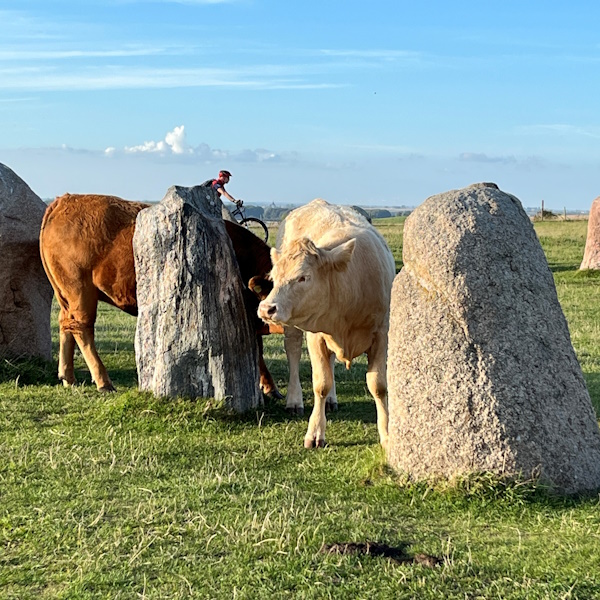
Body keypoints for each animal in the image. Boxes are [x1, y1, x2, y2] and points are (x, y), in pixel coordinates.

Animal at [41, 195, 282, 396]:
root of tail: (64, 200)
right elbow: (256, 351)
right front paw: (270, 388)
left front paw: (270, 388)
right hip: (80, 291)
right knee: (81, 328)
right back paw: (103, 382)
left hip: (67, 295)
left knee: (65, 324)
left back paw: (68, 377)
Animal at [255, 199, 396, 448]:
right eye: (275, 276)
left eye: (303, 277)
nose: (266, 309)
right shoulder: (315, 336)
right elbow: (321, 383)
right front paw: (315, 433)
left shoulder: (381, 334)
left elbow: (378, 385)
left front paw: (387, 433)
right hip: (293, 329)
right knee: (293, 352)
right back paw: (294, 400)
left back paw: (331, 400)